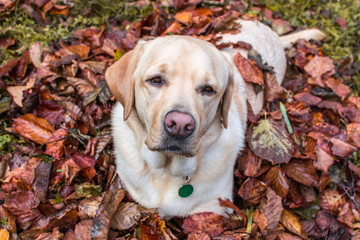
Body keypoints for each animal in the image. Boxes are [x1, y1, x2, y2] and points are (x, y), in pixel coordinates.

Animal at [105, 19, 324, 218]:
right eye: (156, 79)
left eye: (208, 90)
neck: (166, 172)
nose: (180, 125)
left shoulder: (214, 209)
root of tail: (271, 32)